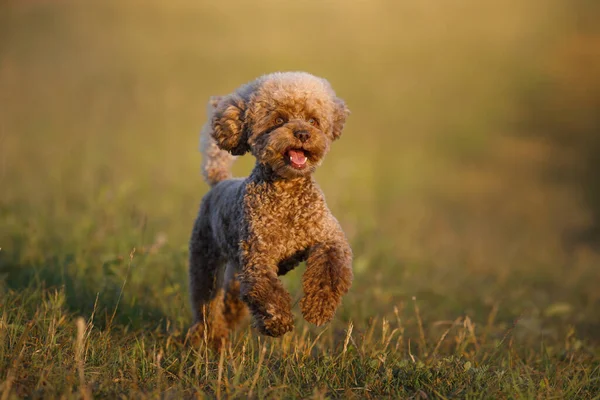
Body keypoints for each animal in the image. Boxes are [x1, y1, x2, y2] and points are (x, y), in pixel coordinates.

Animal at [189, 72, 352, 346]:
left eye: (313, 120)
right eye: (279, 120)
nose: (303, 133)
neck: (287, 194)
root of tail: (219, 180)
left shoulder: (328, 237)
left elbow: (329, 270)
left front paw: (318, 308)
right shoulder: (258, 258)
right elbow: (267, 291)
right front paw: (278, 322)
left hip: (234, 269)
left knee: (231, 300)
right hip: (205, 259)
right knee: (206, 303)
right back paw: (211, 336)